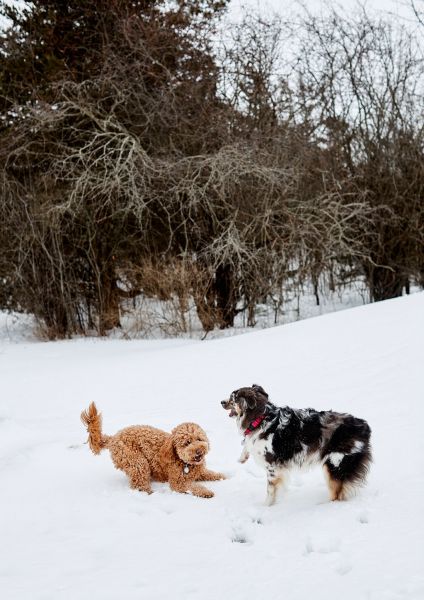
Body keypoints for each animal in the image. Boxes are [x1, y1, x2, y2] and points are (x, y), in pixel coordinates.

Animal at [80, 406, 225, 500]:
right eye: (187, 443)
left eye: (199, 439)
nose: (199, 451)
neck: (184, 462)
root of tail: (113, 438)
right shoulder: (178, 482)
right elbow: (192, 486)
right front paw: (206, 492)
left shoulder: (199, 471)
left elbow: (209, 474)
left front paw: (222, 476)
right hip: (137, 461)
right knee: (138, 483)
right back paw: (149, 494)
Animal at [222, 384, 372, 506]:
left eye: (233, 398)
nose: (221, 402)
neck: (260, 419)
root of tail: (363, 426)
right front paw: (242, 458)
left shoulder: (272, 467)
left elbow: (270, 490)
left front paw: (265, 507)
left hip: (335, 465)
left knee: (337, 495)